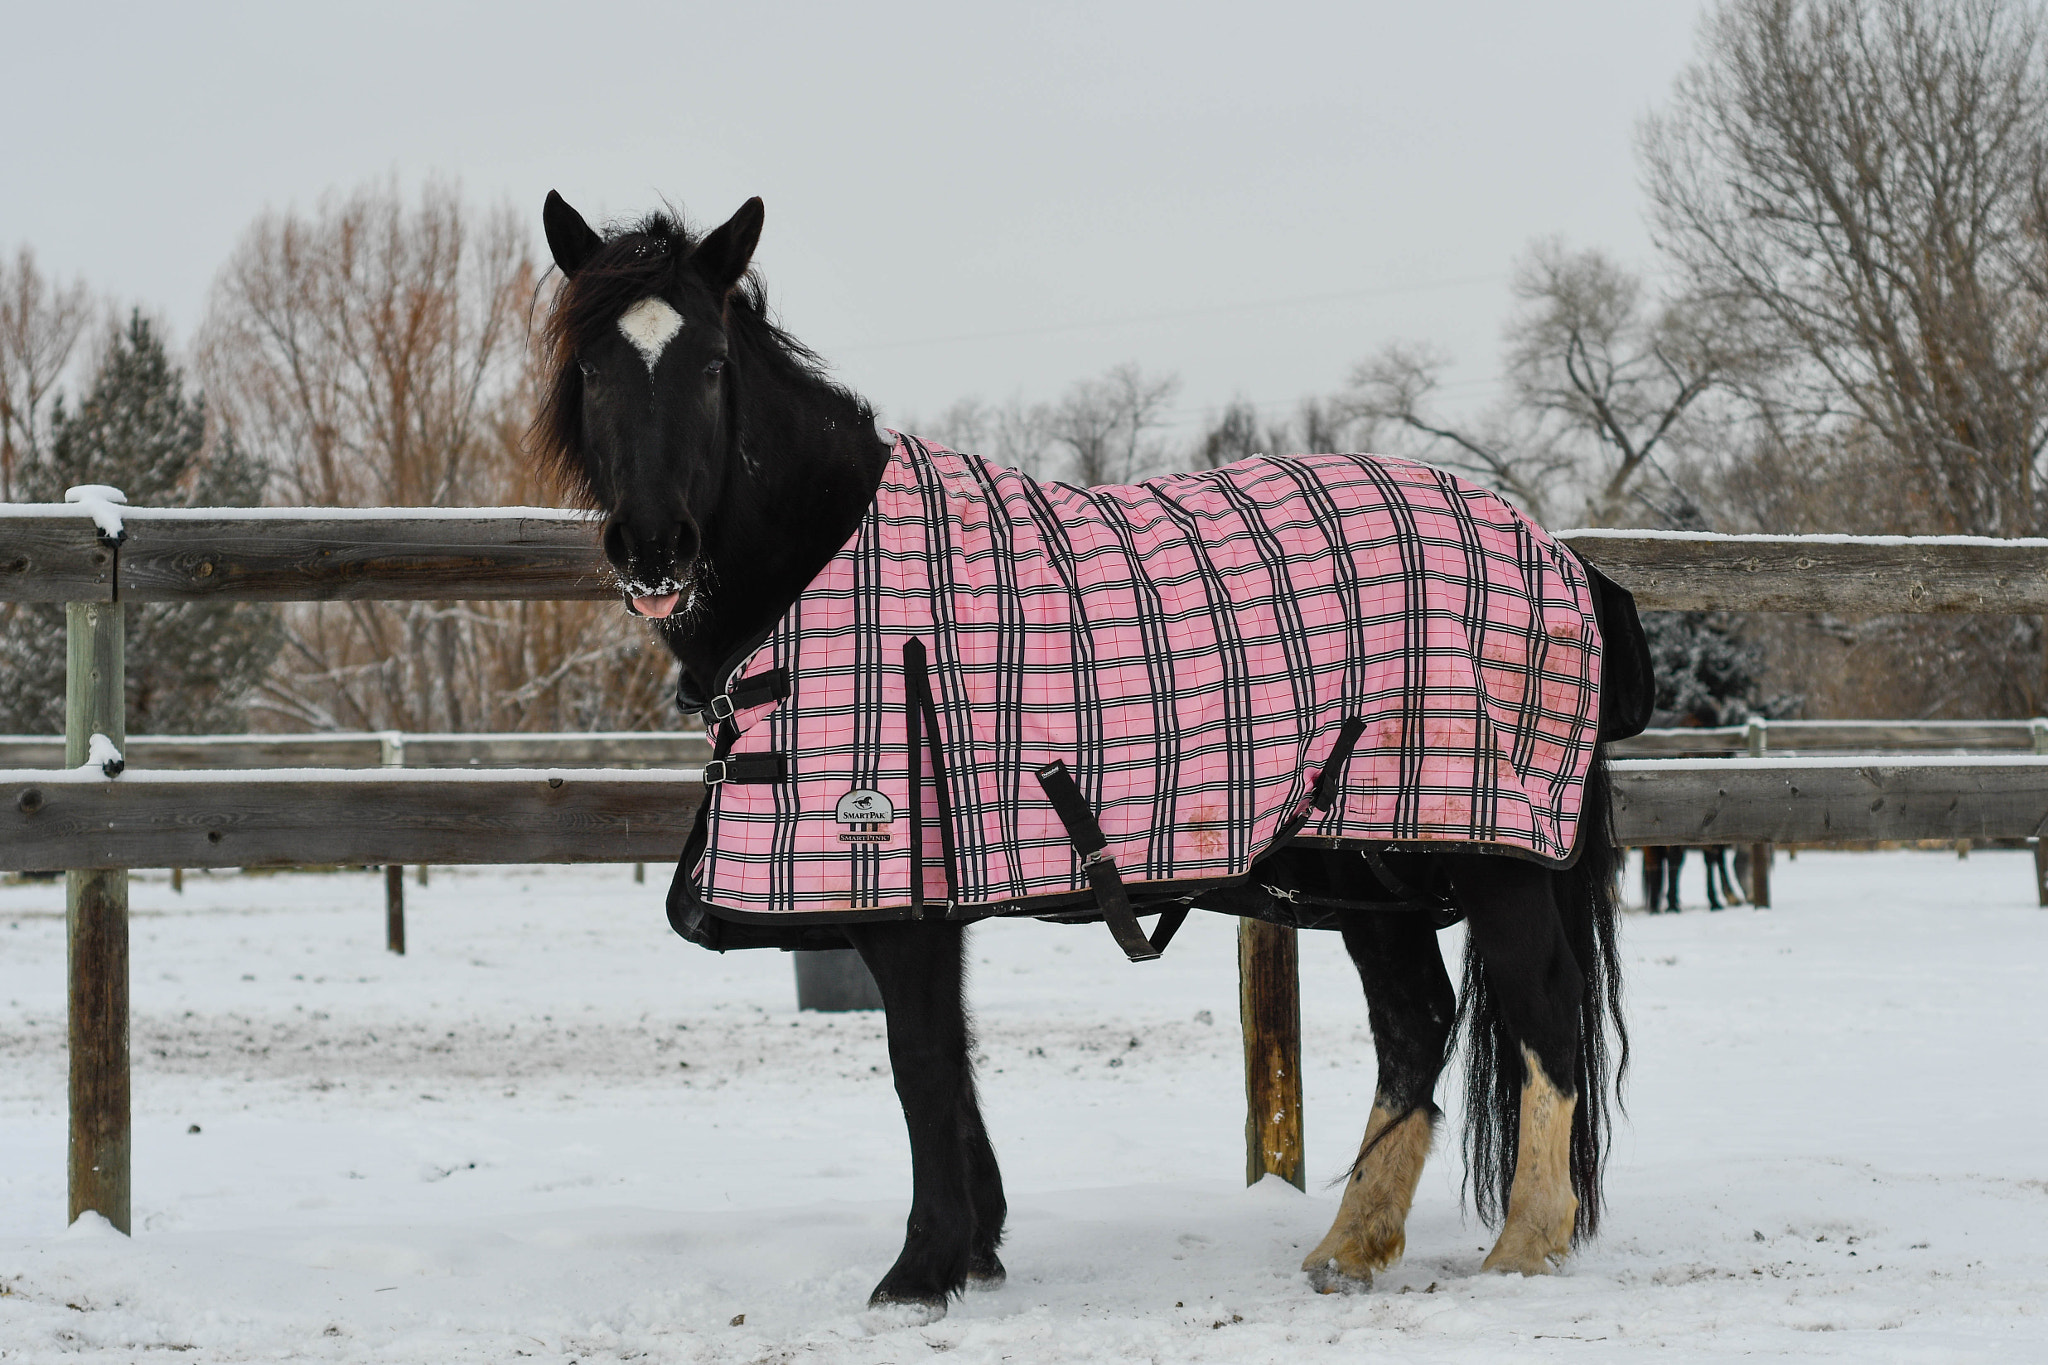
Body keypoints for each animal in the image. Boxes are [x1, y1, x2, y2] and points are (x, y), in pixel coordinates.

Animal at [528, 187, 1646, 1317]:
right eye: (593, 367)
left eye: (712, 362)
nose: (655, 548)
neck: (825, 565)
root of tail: (1555, 551)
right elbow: (953, 1059)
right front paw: (976, 1245)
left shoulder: (903, 888)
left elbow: (921, 1057)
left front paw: (922, 1268)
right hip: (1367, 855)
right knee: (1415, 1023)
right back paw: (1351, 1244)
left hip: (1490, 848)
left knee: (1543, 1010)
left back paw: (1524, 1244)